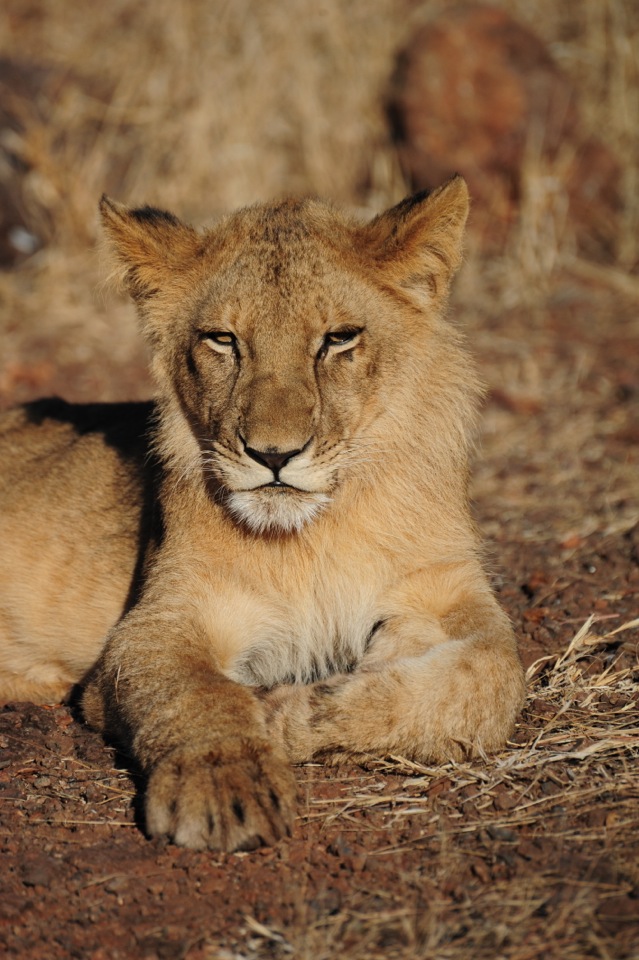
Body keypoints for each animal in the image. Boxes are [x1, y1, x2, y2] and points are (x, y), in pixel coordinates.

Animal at [0, 176, 525, 851]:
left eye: (338, 338)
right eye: (224, 340)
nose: (273, 454)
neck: (317, 534)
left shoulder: (447, 586)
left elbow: (493, 675)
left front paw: (294, 706)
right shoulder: (158, 622)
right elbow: (196, 693)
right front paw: (226, 779)